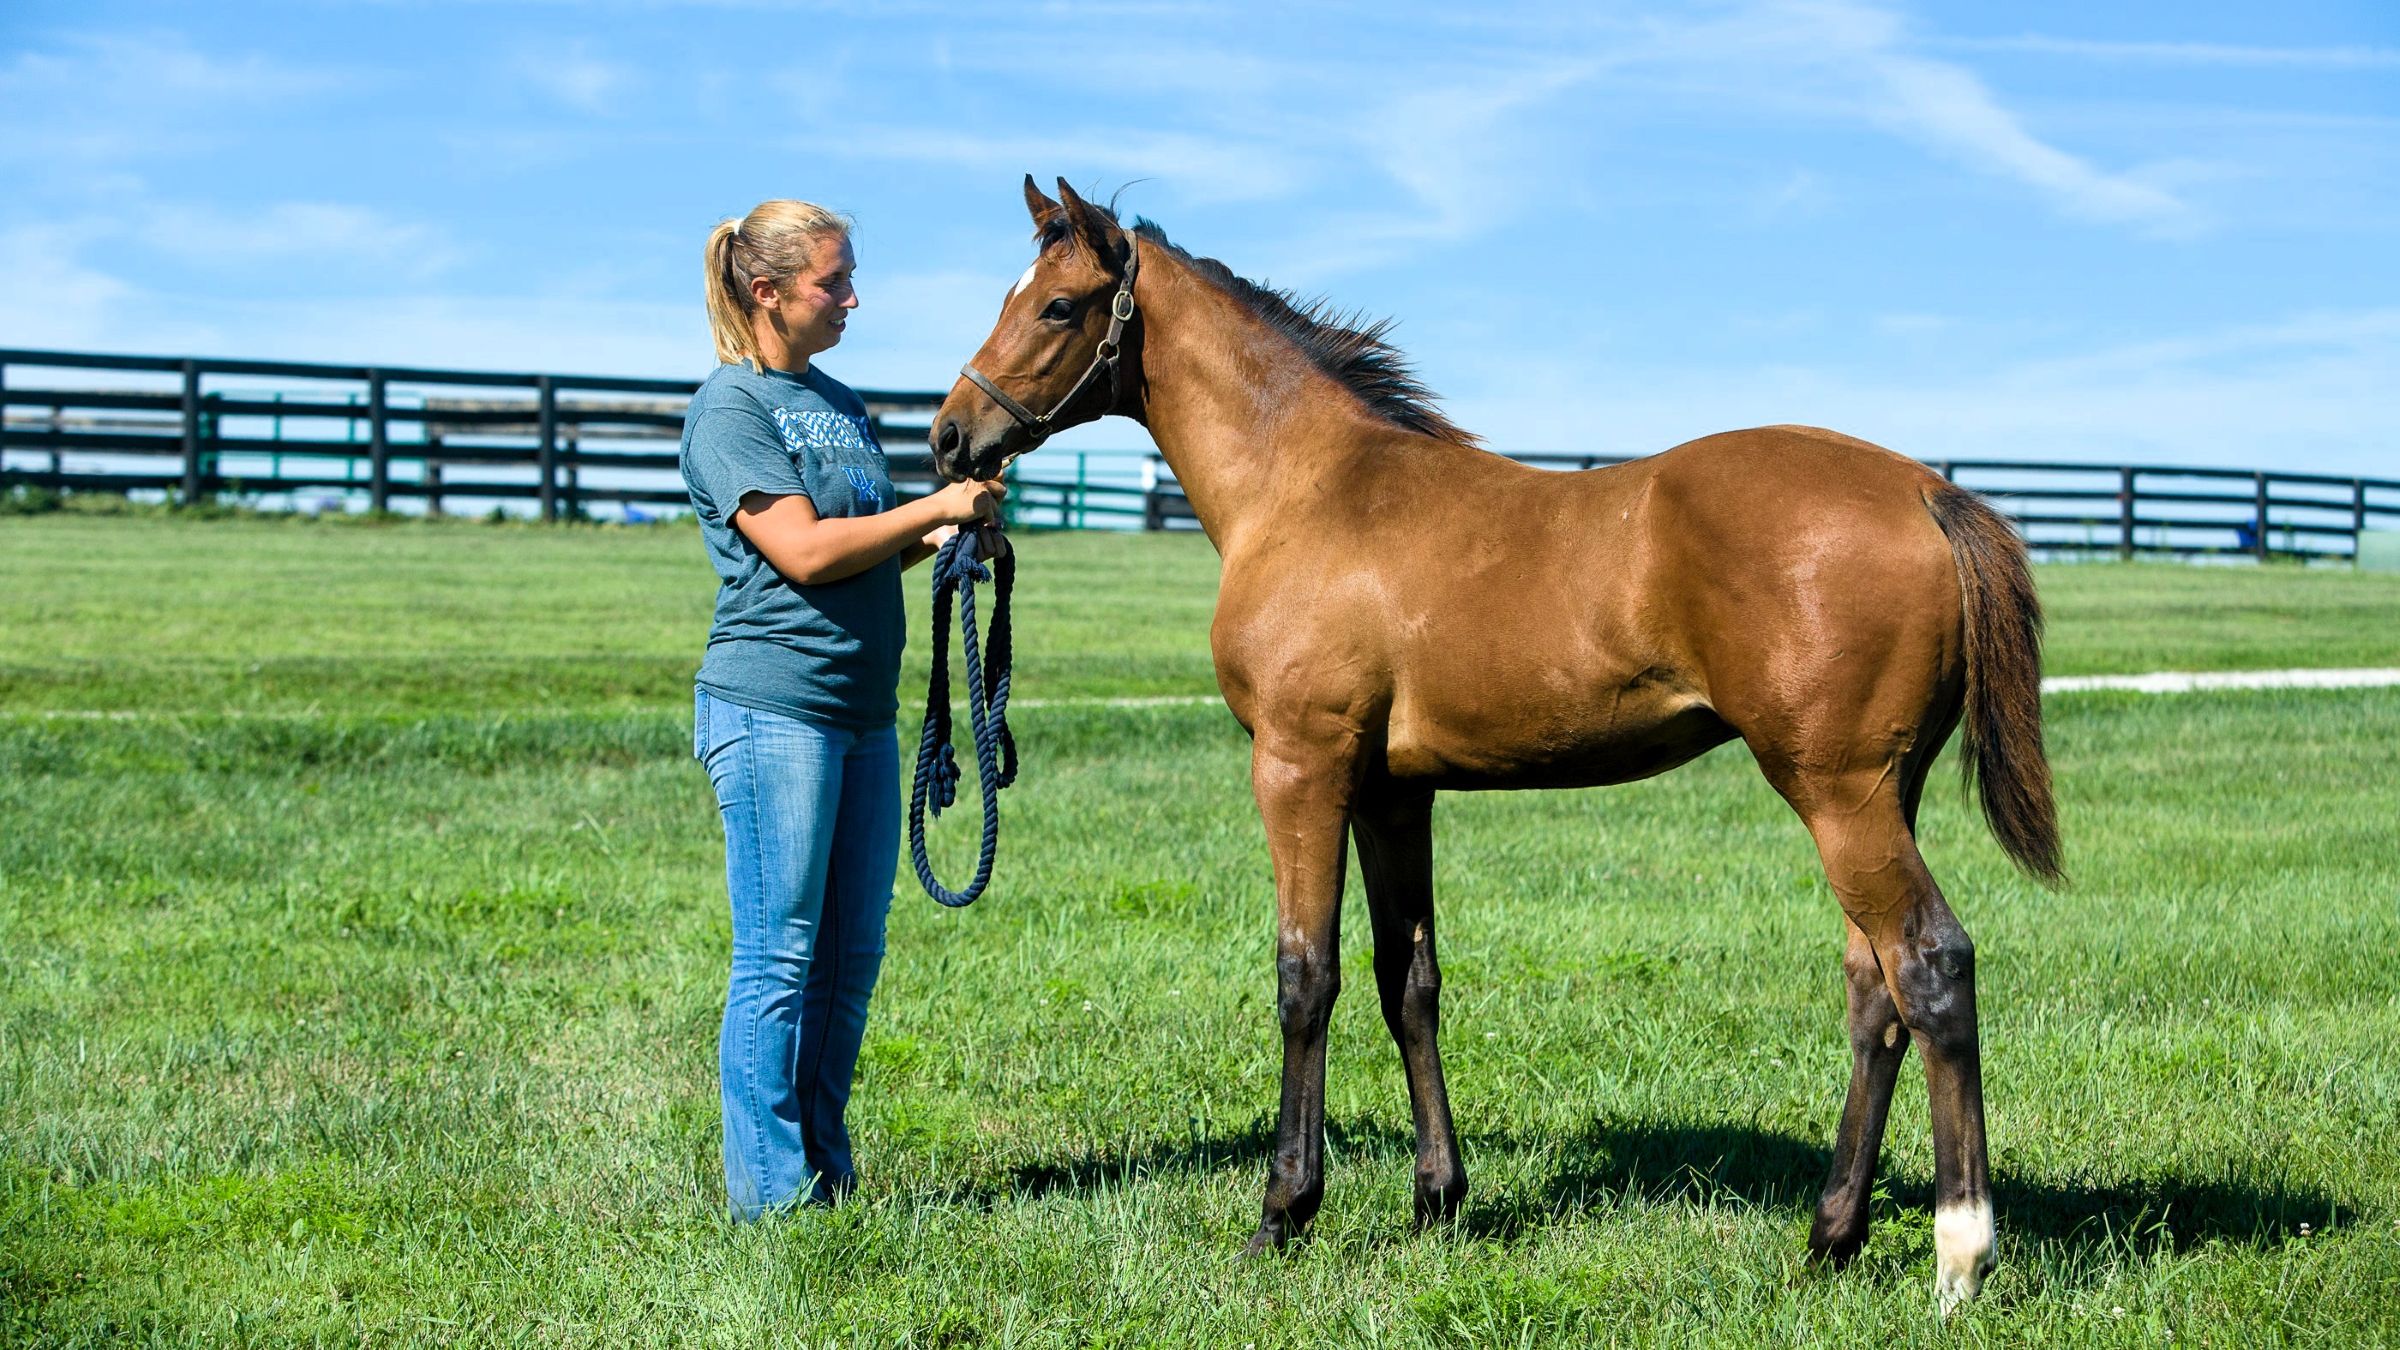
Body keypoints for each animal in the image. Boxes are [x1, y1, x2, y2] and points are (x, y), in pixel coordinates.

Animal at [936, 178, 2064, 1306]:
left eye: (1058, 307)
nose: (950, 438)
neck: (1307, 489)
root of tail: (1928, 490)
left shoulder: (1300, 768)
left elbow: (1307, 977)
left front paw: (1284, 1213)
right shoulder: (1392, 791)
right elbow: (1408, 979)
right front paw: (1436, 1200)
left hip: (1837, 792)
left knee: (1930, 964)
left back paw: (1960, 1253)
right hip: (1878, 792)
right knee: (1875, 989)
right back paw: (1831, 1236)